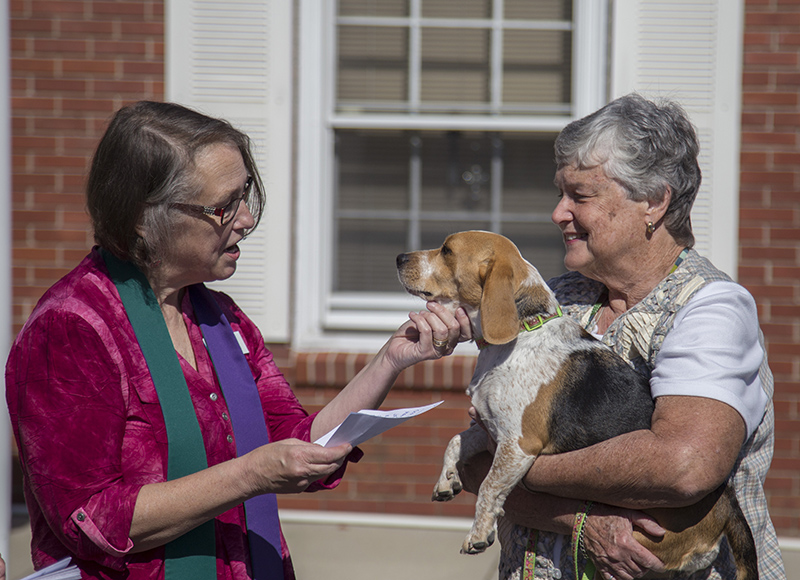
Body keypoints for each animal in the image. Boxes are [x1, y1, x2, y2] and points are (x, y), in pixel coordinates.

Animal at [396, 231, 760, 580]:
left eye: (447, 250)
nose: (399, 257)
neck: (524, 329)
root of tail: (727, 500)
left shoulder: (518, 444)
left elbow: (489, 487)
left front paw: (478, 534)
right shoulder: (492, 430)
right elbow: (455, 440)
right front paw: (447, 480)